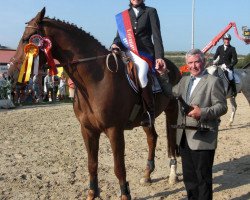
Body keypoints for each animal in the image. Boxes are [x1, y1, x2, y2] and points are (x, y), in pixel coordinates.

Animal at [7, 7, 180, 200]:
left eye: (26, 39)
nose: (10, 75)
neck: (96, 80)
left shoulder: (114, 130)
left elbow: (119, 167)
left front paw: (124, 194)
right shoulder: (88, 130)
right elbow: (92, 164)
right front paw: (92, 193)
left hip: (172, 111)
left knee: (171, 140)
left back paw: (172, 174)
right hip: (146, 119)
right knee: (152, 138)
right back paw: (147, 175)